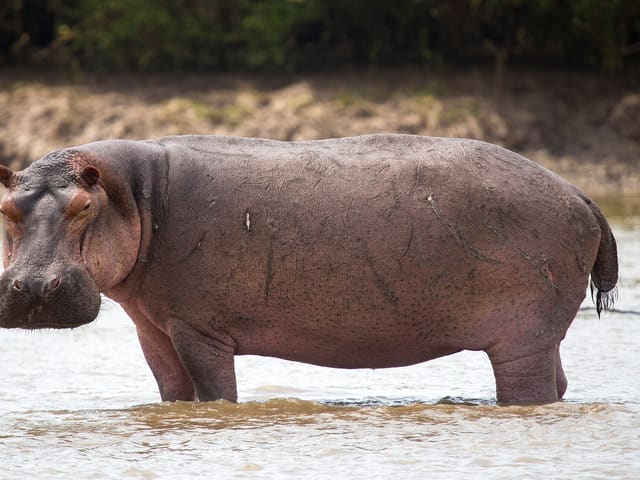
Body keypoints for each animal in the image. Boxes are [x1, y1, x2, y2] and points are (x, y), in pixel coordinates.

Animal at [0, 134, 618, 404]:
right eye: (5, 207)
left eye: (84, 207)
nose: (33, 289)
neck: (137, 196)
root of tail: (580, 194)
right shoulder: (154, 327)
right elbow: (172, 392)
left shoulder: (200, 330)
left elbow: (214, 393)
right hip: (542, 335)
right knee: (559, 384)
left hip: (521, 338)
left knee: (529, 388)